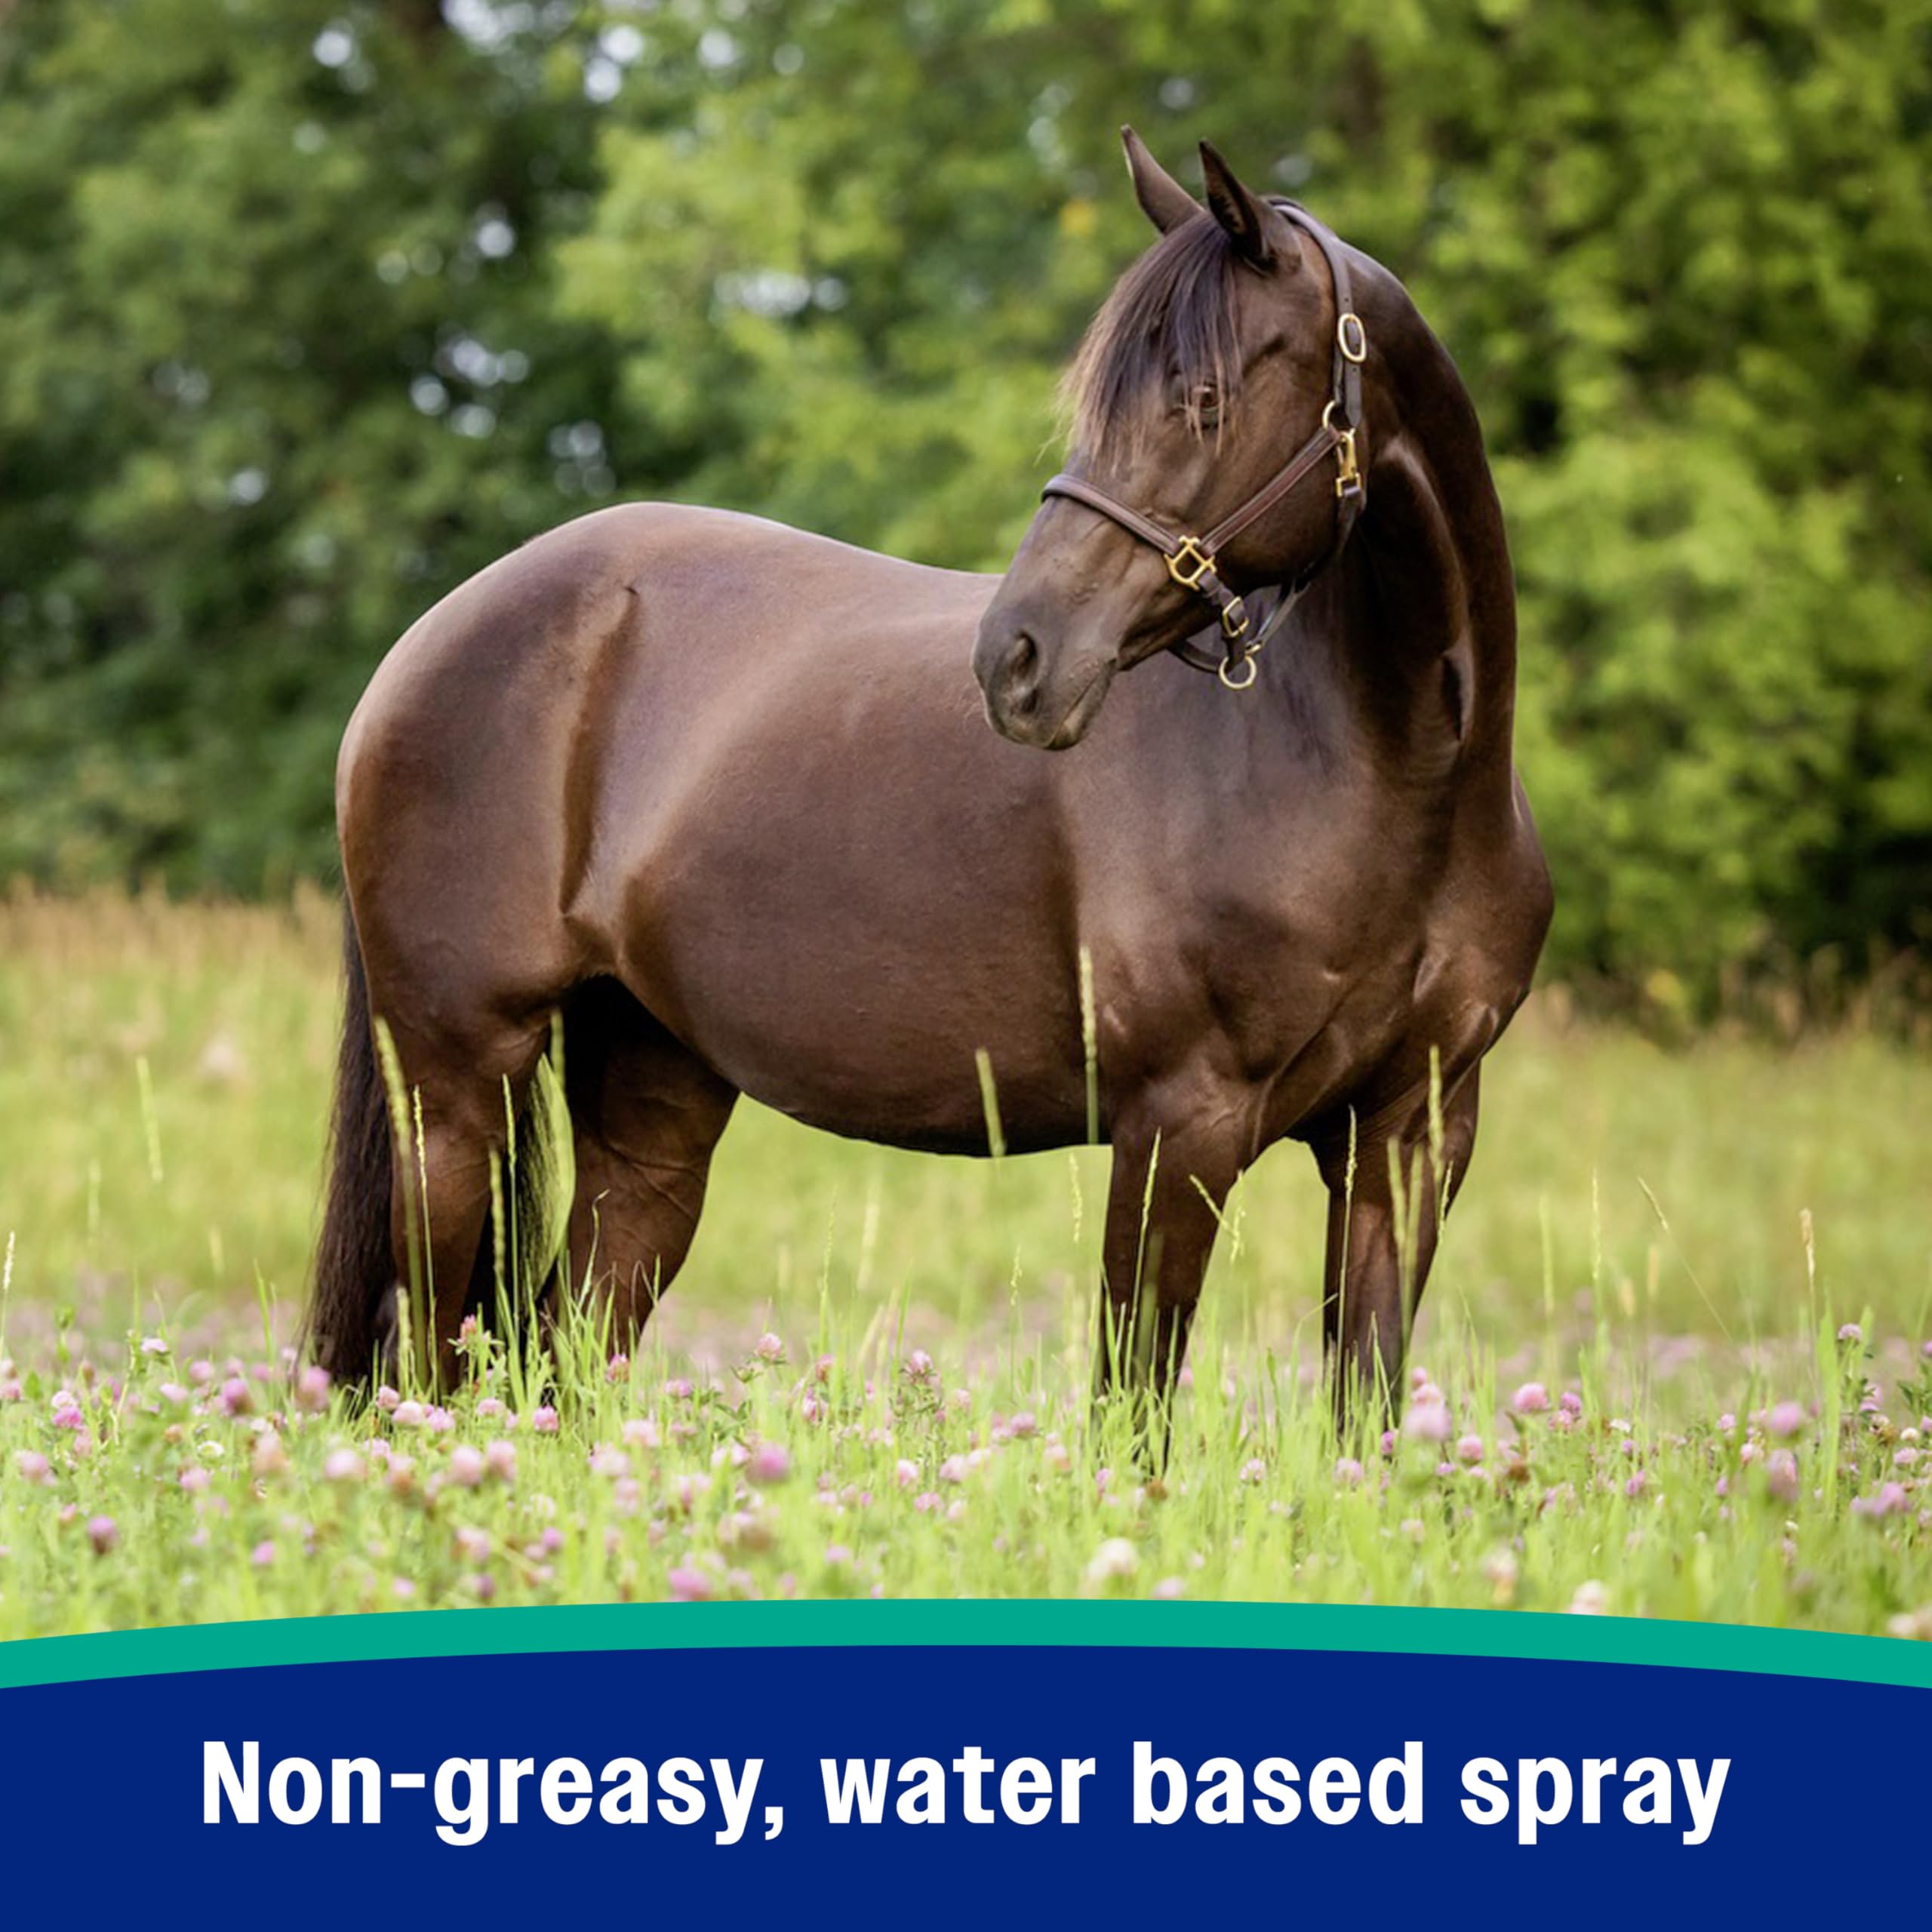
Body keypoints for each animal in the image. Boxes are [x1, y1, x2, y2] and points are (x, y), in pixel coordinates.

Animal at [307, 130, 1551, 1437]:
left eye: (1205, 400)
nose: (1020, 658)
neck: (1397, 776)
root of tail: (428, 641)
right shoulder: (1182, 1124)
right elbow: (1133, 1414)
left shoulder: (1410, 1137)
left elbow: (1366, 1407)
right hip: (456, 1094)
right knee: (429, 1366)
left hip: (651, 1106)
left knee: (567, 1352)